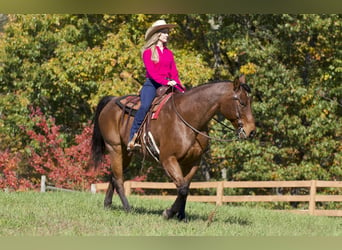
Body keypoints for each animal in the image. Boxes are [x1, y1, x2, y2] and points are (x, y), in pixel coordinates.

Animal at [91, 74, 256, 221]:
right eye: (242, 103)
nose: (251, 131)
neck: (188, 117)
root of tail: (112, 100)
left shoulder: (192, 162)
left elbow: (186, 186)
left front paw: (181, 215)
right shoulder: (168, 159)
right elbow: (182, 188)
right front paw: (169, 213)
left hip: (126, 153)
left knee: (113, 176)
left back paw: (107, 204)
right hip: (115, 148)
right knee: (119, 180)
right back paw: (127, 208)